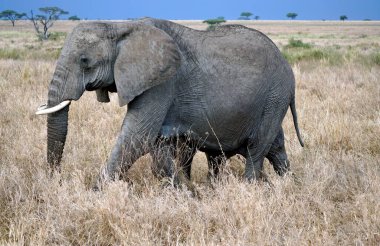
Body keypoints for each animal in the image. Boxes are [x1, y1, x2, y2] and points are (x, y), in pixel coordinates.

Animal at [35, 17, 302, 186]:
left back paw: (251, 188)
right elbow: (156, 147)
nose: (56, 179)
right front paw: (185, 192)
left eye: (84, 61)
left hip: (275, 96)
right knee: (274, 148)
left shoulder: (162, 82)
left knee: (257, 148)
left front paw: (94, 195)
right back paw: (286, 186)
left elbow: (137, 137)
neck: (120, 26)